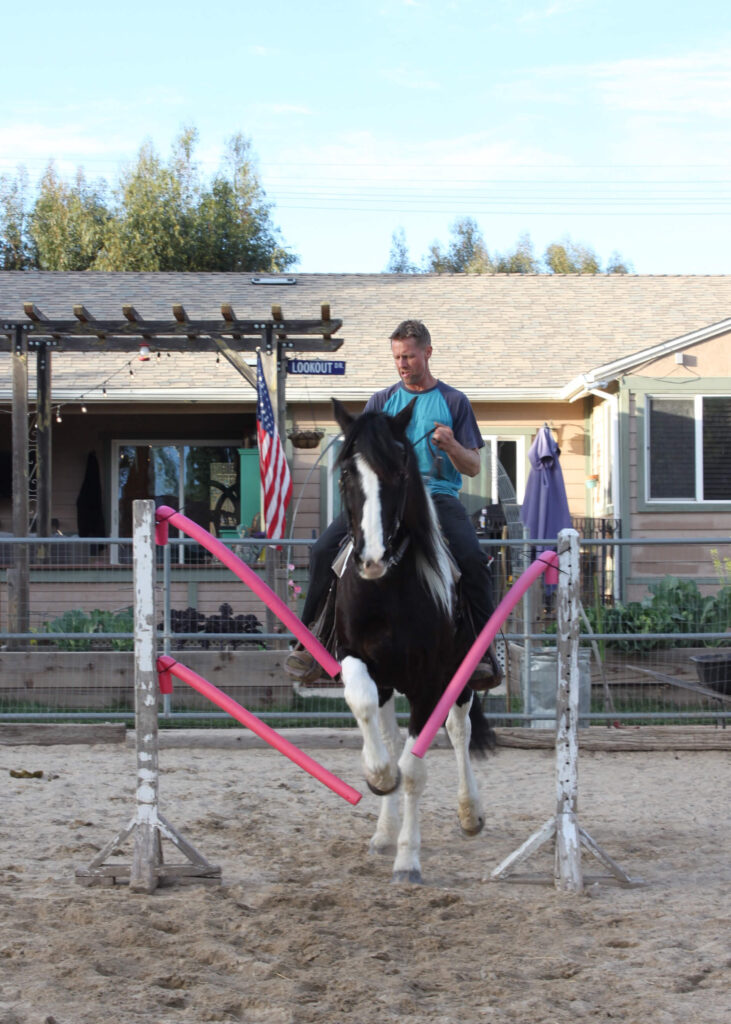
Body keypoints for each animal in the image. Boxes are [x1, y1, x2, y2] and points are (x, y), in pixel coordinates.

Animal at [331, 395, 495, 884]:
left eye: (399, 473)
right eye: (346, 474)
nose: (371, 558)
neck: (386, 591)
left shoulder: (430, 683)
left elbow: (416, 769)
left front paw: (408, 860)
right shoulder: (355, 659)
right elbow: (366, 711)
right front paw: (379, 777)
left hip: (460, 680)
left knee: (459, 732)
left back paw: (470, 814)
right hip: (391, 681)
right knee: (386, 727)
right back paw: (383, 833)